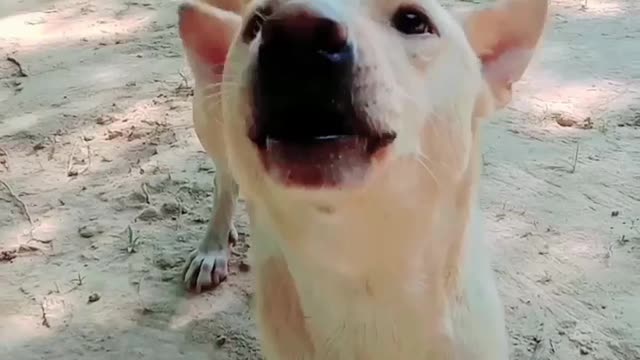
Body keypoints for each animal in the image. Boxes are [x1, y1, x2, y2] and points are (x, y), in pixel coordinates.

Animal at [178, 0, 548, 358]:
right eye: (255, 25)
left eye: (414, 20)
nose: (297, 34)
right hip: (207, 117)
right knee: (225, 178)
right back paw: (213, 246)